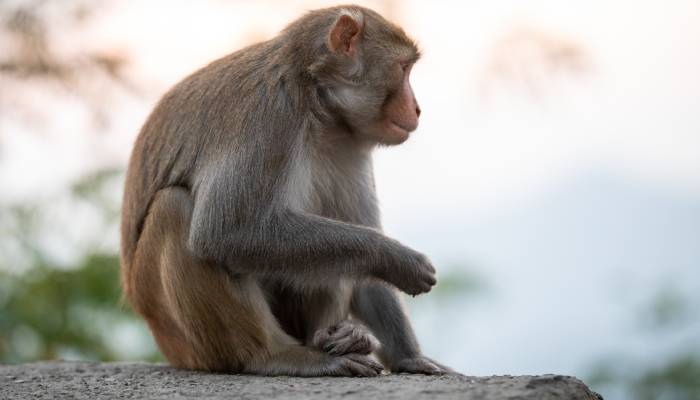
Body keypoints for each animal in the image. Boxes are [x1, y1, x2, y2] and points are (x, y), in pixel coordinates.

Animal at [120, 5, 452, 377]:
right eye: (403, 69)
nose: (417, 108)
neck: (319, 108)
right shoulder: (269, 115)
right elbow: (225, 231)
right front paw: (393, 257)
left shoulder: (350, 145)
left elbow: (362, 254)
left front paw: (408, 357)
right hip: (186, 343)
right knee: (174, 207)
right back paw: (276, 355)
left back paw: (338, 338)